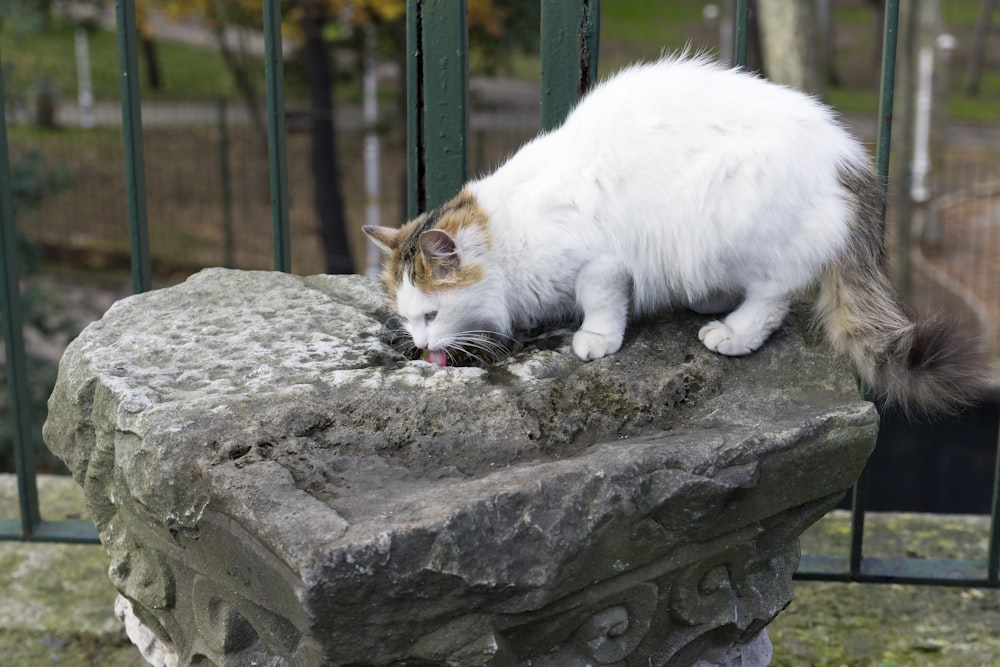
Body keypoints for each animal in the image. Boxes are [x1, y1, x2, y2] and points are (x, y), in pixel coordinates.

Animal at [366, 54, 984, 414]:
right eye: (408, 317)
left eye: (431, 314)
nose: (419, 344)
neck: (509, 235)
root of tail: (847, 157)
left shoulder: (603, 260)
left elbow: (601, 300)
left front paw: (595, 340)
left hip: (730, 214)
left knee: (774, 297)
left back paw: (731, 332)